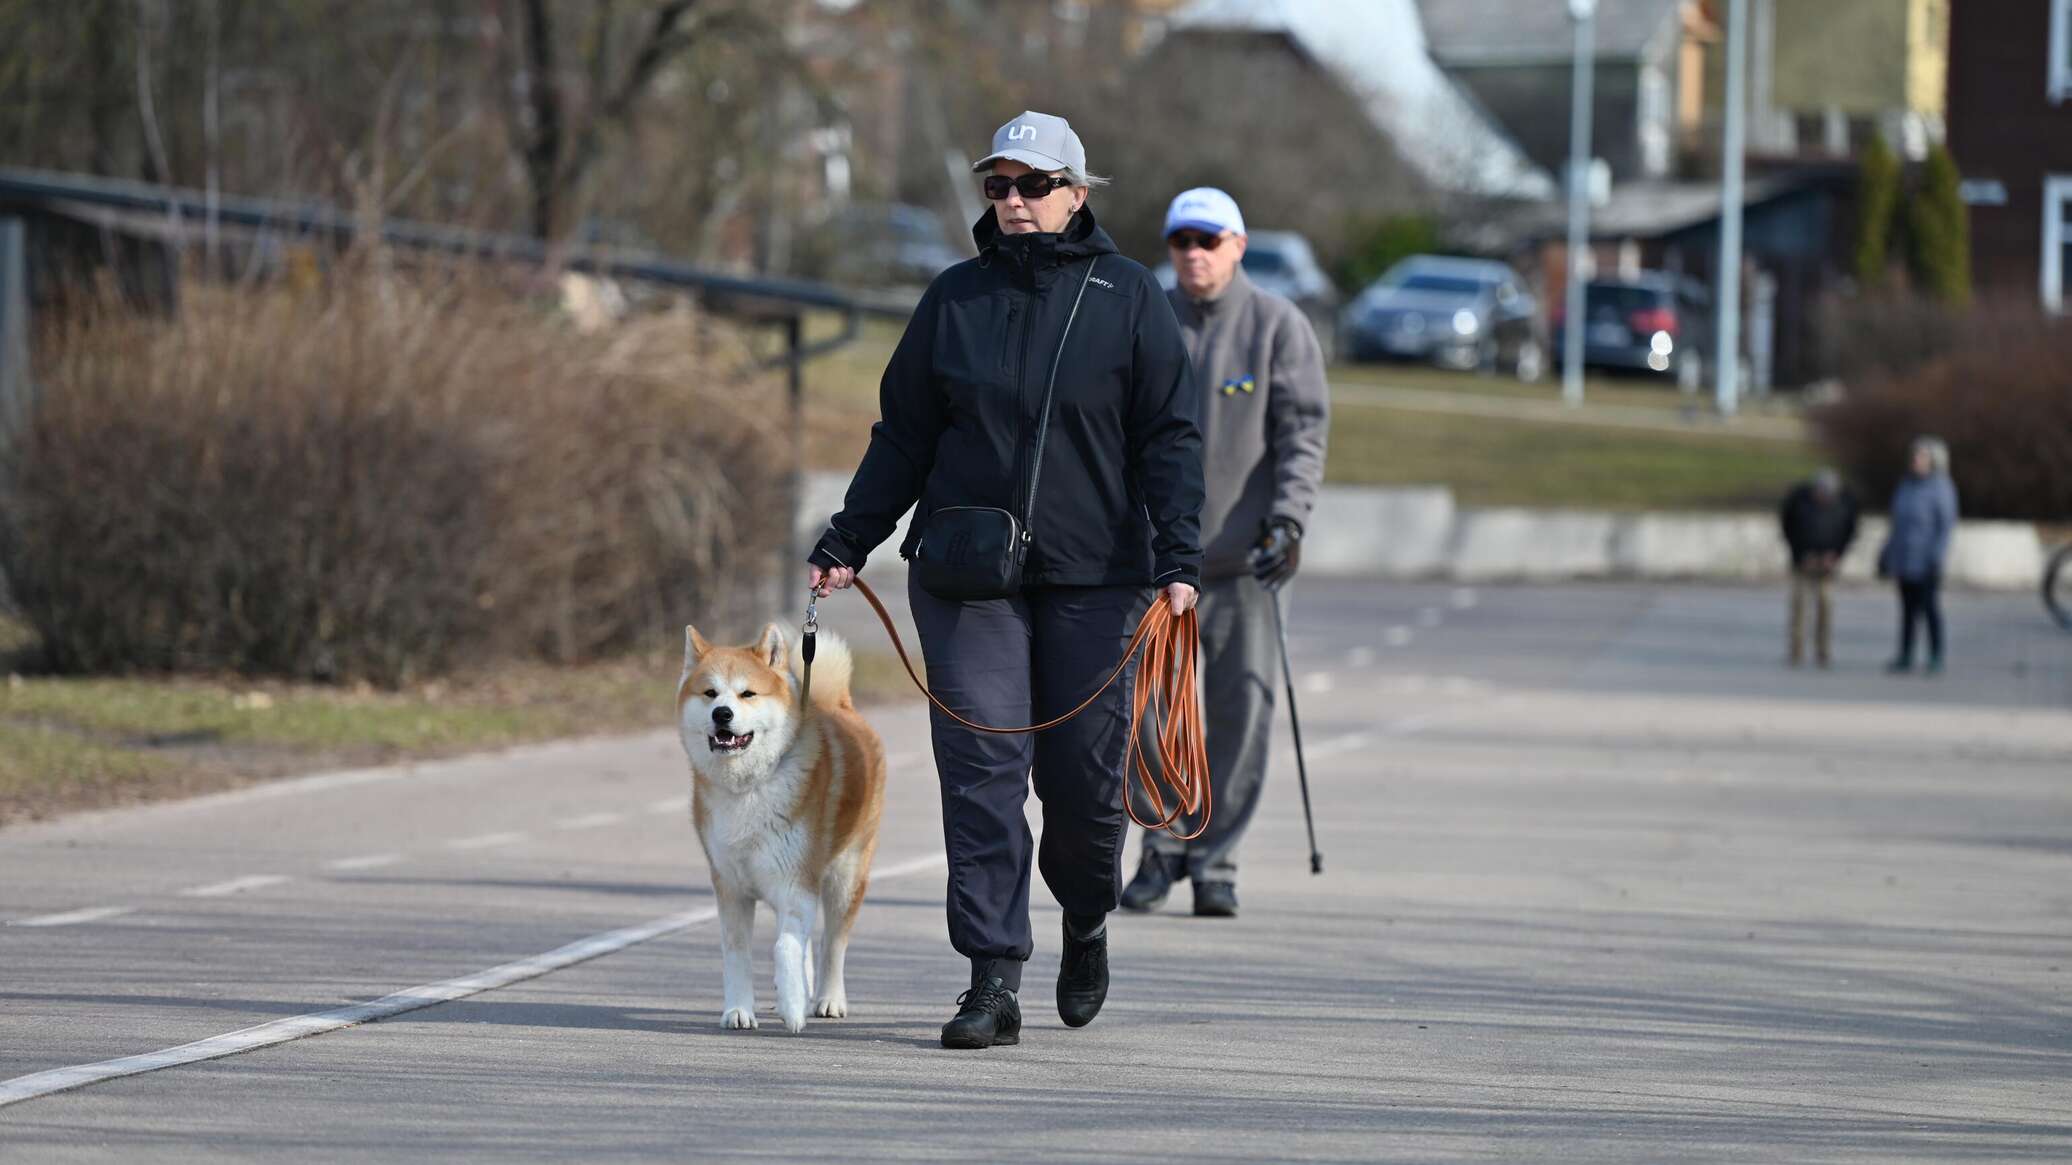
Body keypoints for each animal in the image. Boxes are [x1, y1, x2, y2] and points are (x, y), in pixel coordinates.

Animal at [671, 621, 882, 1028]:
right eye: (710, 693)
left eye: (747, 693)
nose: (722, 713)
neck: (749, 788)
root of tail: (840, 706)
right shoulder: (731, 886)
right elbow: (737, 952)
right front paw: (739, 1009)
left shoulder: (795, 881)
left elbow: (786, 945)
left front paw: (793, 1003)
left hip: (845, 877)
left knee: (833, 943)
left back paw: (827, 998)